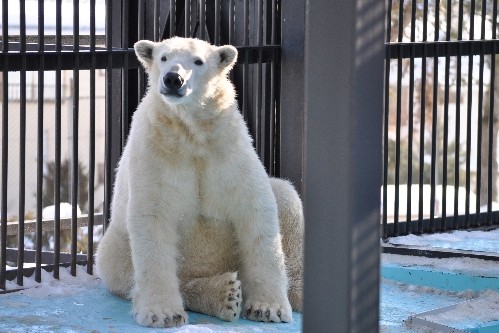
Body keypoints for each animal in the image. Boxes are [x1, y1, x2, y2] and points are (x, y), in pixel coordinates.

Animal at [94, 37, 304, 326]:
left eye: (198, 61)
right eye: (163, 57)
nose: (173, 79)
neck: (192, 134)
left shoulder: (229, 149)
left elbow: (256, 209)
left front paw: (267, 308)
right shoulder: (155, 153)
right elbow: (153, 219)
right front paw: (163, 313)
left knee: (285, 196)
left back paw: (296, 292)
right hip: (118, 244)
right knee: (118, 267)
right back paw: (223, 294)